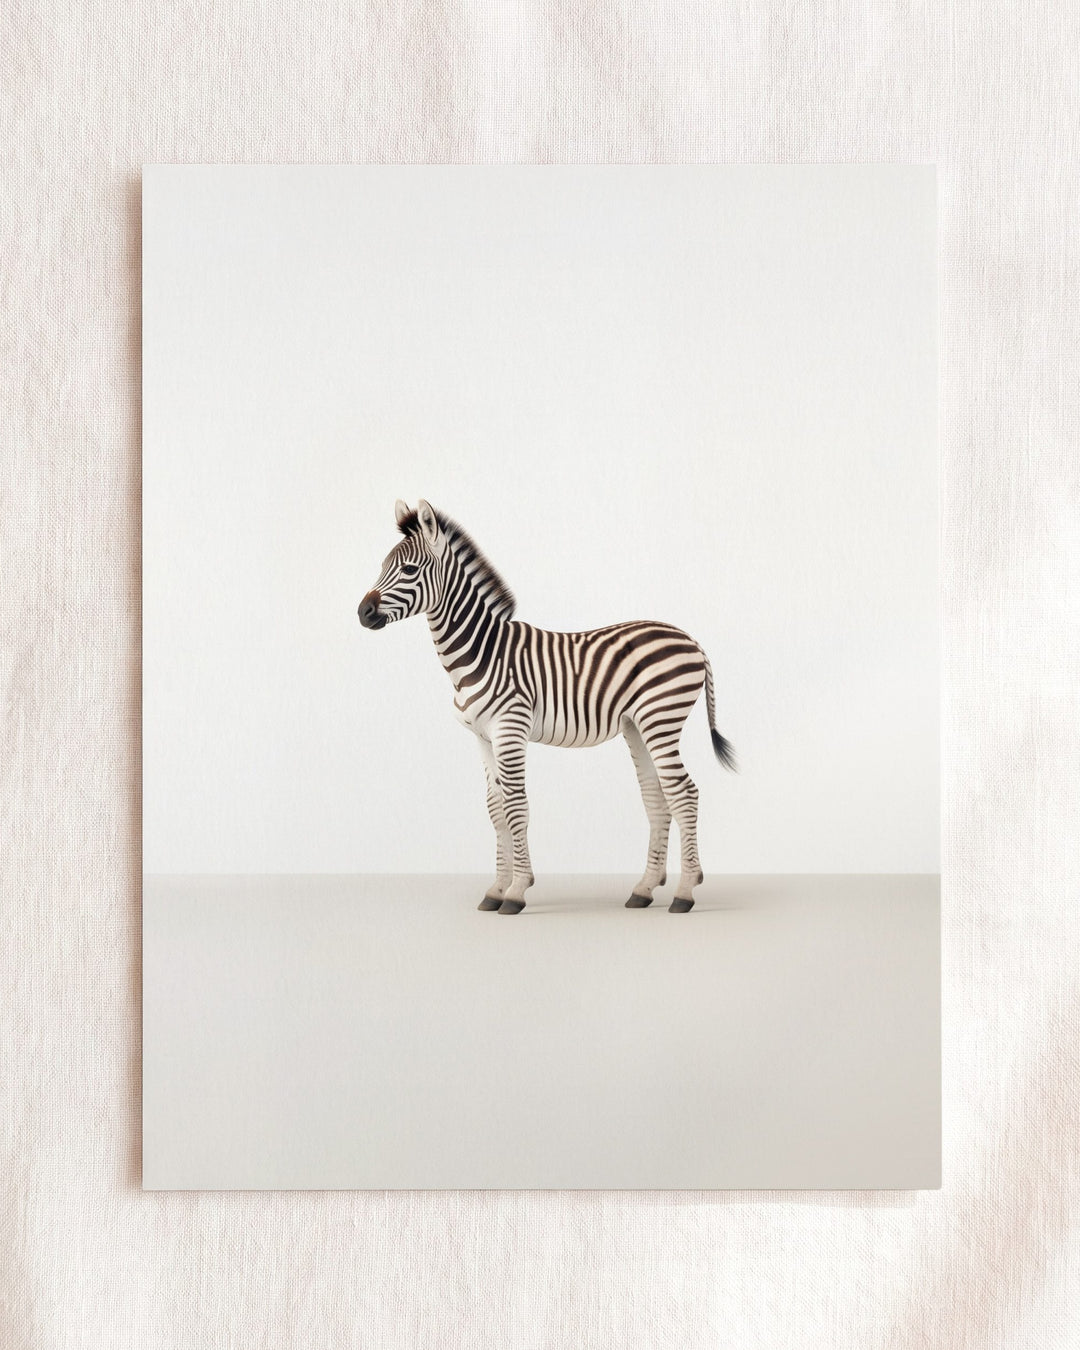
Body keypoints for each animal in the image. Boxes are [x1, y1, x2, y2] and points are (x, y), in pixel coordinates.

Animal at [357, 500, 736, 914]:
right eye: (381, 566)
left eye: (409, 570)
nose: (362, 612)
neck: (480, 652)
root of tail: (691, 639)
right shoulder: (482, 737)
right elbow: (495, 809)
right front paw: (495, 889)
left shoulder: (510, 729)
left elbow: (516, 806)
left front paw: (517, 891)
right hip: (638, 725)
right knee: (657, 796)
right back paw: (644, 889)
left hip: (661, 718)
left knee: (684, 793)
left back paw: (685, 892)